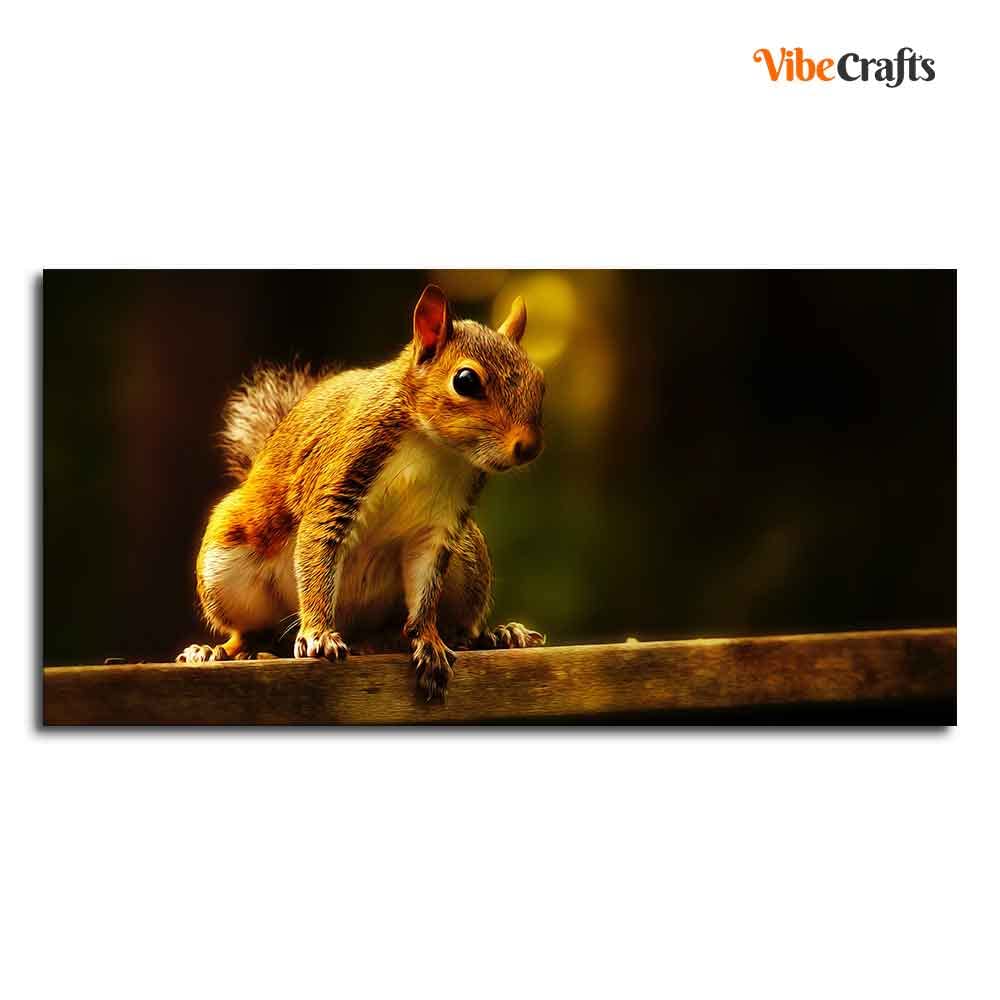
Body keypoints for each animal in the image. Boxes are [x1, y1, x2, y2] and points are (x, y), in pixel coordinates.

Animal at [177, 284, 546, 697]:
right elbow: (319, 549)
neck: (433, 446)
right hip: (226, 565)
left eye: (540, 381)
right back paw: (214, 651)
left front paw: (429, 641)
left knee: (452, 624)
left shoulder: (439, 525)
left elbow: (425, 589)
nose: (528, 447)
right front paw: (318, 634)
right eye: (465, 381)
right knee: (248, 633)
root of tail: (360, 634)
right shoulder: (343, 473)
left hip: (468, 560)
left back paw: (494, 636)